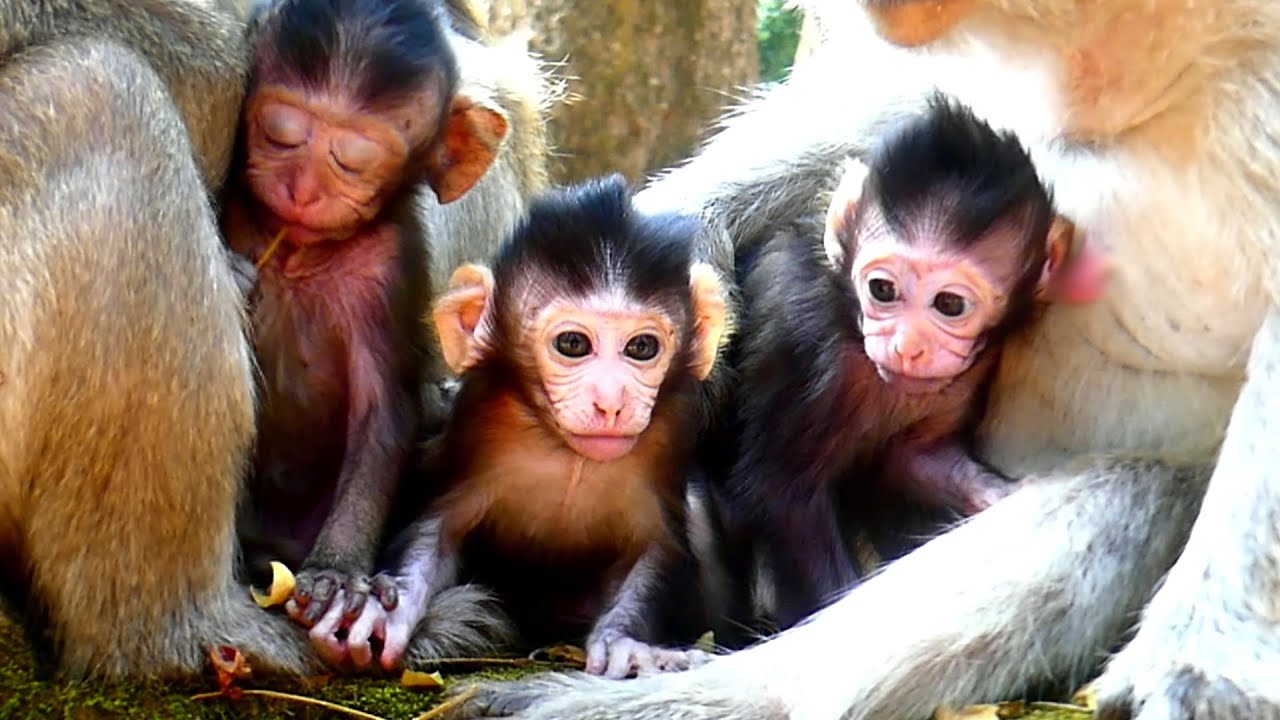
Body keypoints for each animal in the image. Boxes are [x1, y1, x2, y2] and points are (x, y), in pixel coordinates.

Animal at [0, 0, 554, 681]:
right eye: (282, 135)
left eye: (351, 160)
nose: (301, 188)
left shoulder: (381, 268)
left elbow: (383, 413)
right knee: (97, 94)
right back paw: (174, 629)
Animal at [313, 175, 729, 677]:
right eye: (573, 344)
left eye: (642, 348)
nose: (611, 403)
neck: (566, 451)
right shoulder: (479, 422)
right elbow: (437, 529)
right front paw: (383, 610)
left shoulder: (669, 437)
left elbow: (657, 550)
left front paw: (626, 643)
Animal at [715, 96, 1110, 632]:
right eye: (882, 290)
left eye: (949, 304)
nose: (907, 346)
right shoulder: (800, 334)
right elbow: (785, 493)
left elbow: (915, 459)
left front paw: (997, 496)